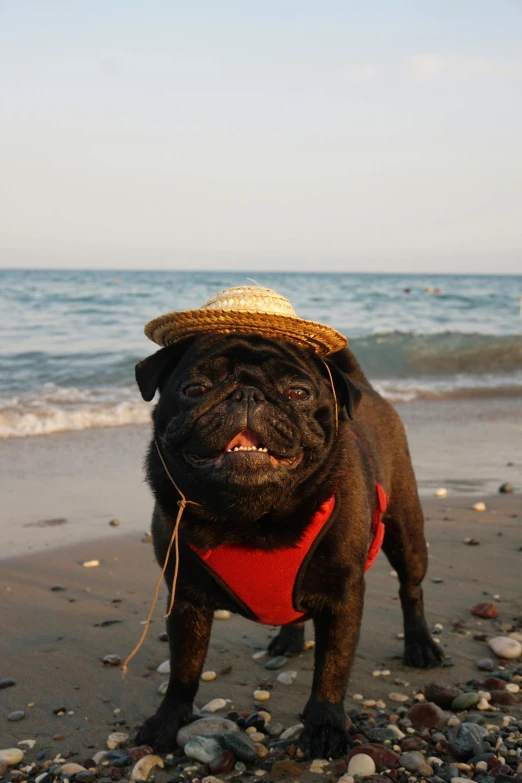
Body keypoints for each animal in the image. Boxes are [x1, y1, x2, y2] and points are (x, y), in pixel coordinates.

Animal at [133, 332, 438, 760]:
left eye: (298, 393)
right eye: (195, 389)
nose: (246, 394)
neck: (252, 518)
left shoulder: (342, 597)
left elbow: (332, 667)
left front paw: (325, 726)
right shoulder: (185, 598)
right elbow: (184, 668)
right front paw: (168, 720)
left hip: (406, 531)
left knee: (411, 588)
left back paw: (421, 645)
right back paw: (289, 640)